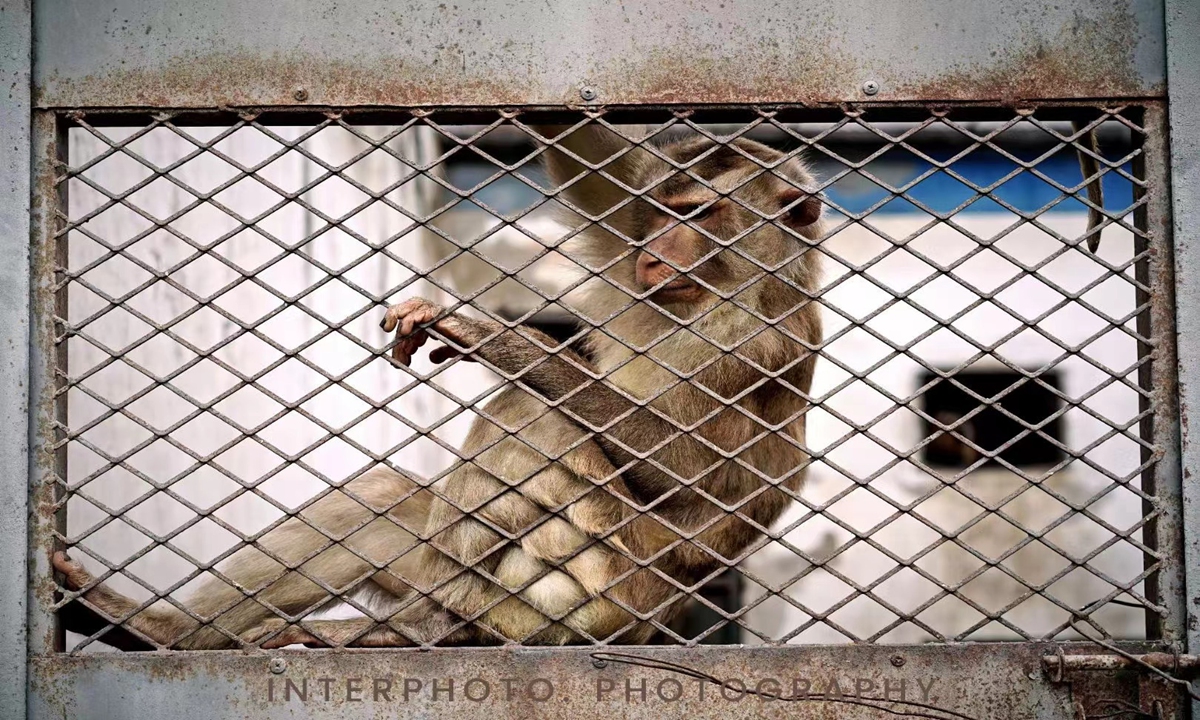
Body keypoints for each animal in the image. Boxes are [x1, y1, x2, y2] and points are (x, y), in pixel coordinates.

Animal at [54, 123, 825, 652]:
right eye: (664, 213)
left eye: (699, 215)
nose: (656, 256)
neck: (710, 293)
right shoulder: (629, 251)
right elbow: (596, 164)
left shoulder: (751, 343)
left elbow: (692, 475)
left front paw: (511, 343)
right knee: (389, 498)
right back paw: (155, 630)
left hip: (607, 588)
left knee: (533, 417)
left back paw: (432, 626)